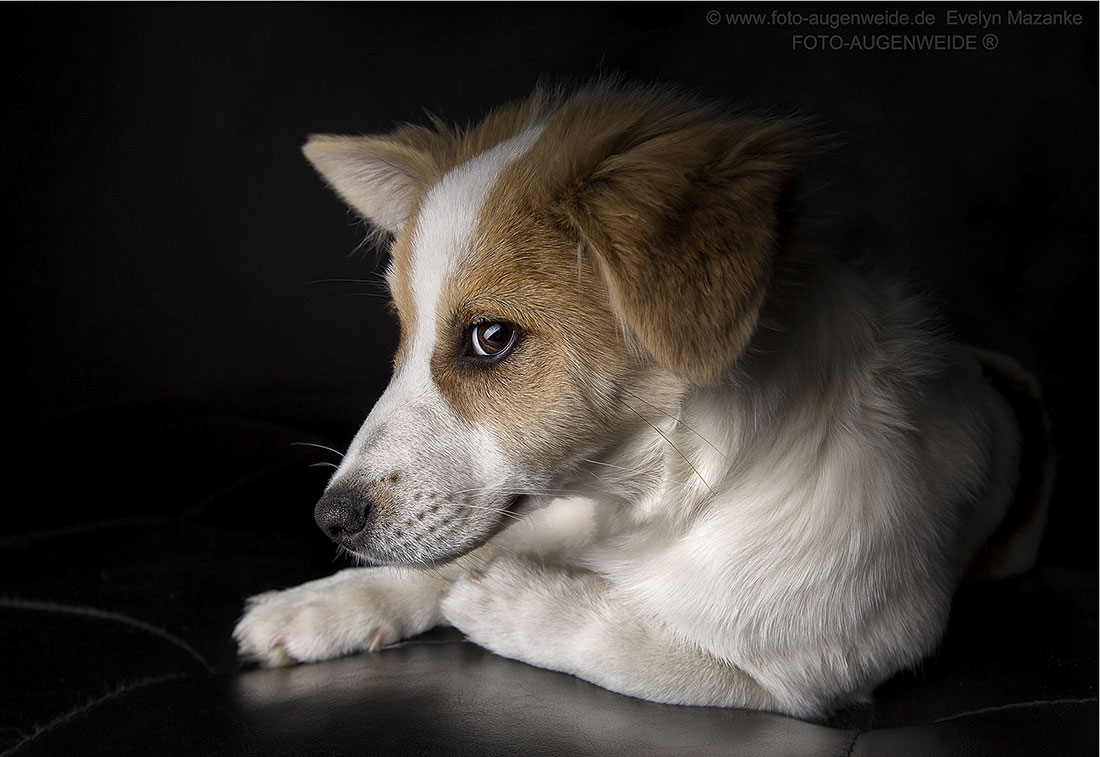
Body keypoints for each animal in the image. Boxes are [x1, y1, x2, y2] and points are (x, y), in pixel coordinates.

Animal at [232, 82, 1047, 721]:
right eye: (403, 332)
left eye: (490, 337)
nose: (330, 519)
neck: (664, 499)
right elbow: (452, 552)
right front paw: (323, 603)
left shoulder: (805, 673)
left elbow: (613, 639)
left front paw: (504, 599)